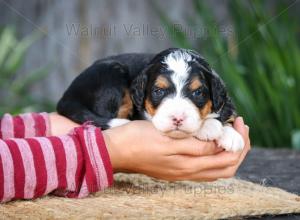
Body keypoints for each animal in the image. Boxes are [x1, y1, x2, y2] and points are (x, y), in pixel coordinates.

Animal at [57, 48, 245, 151]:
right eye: (158, 91)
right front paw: (208, 127)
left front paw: (231, 135)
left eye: (198, 92)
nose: (177, 118)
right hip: (110, 75)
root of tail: (67, 96)